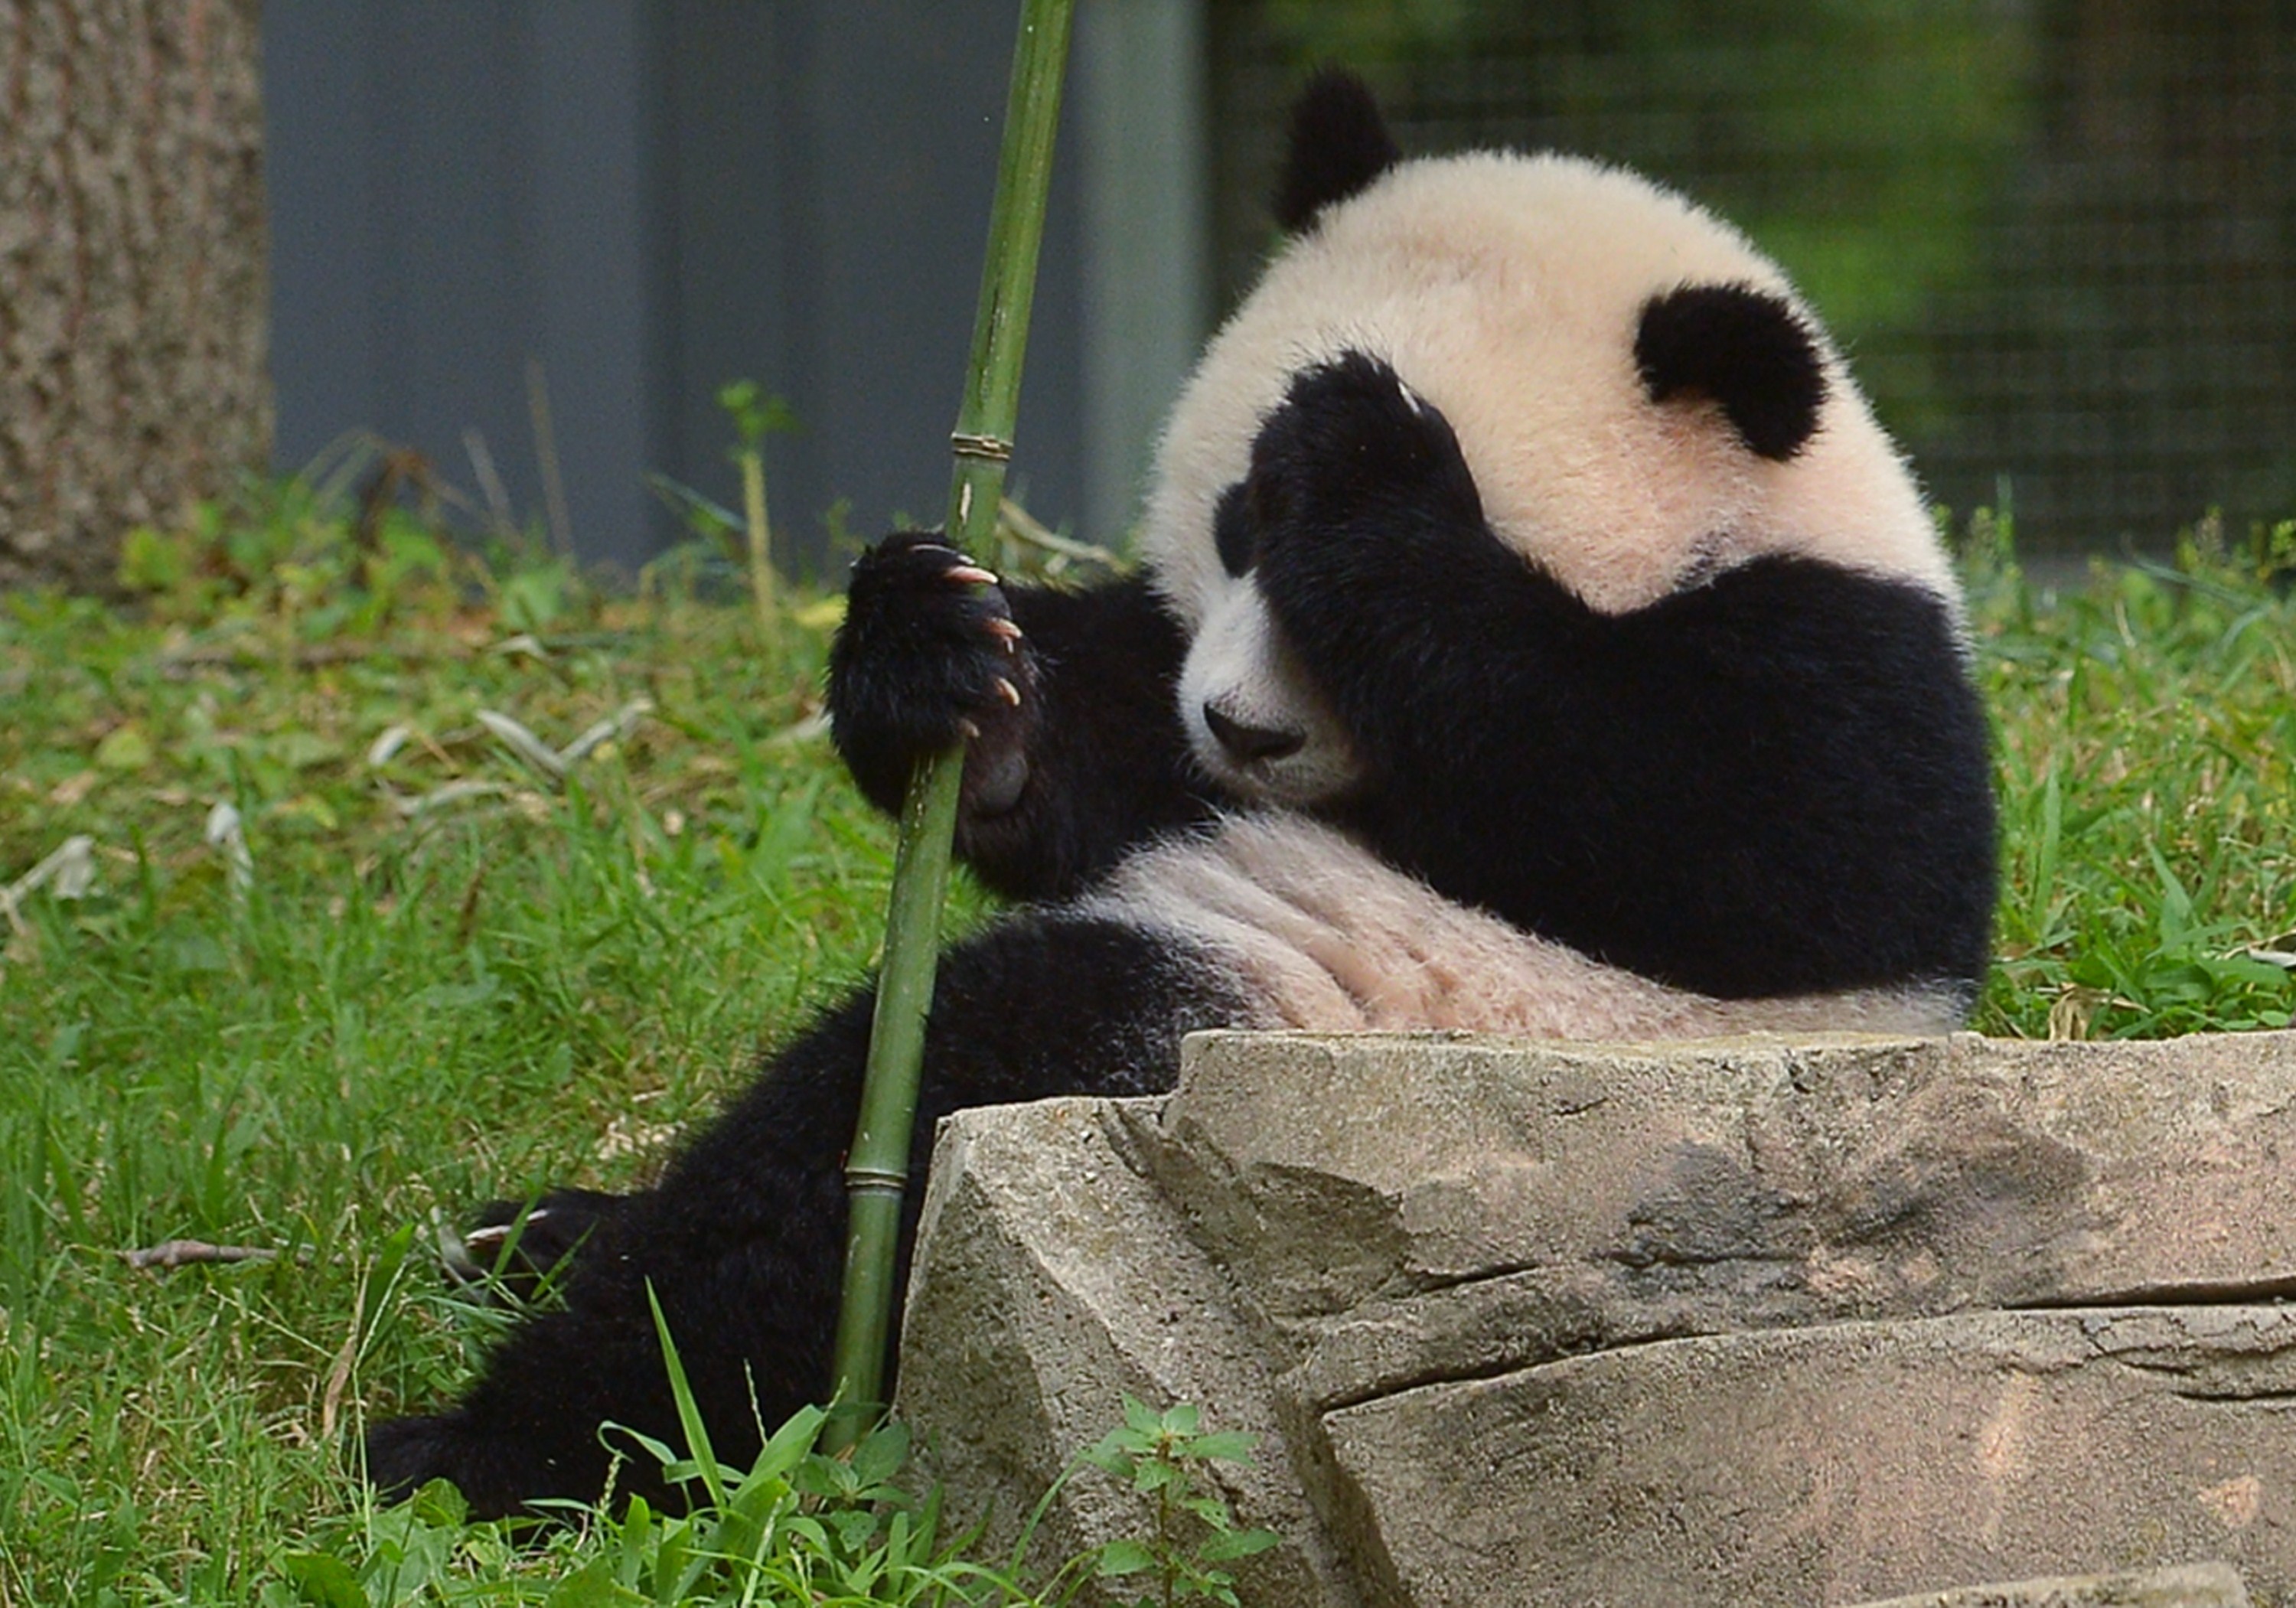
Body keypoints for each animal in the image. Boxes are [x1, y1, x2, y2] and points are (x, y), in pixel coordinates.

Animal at [358, 69, 1993, 1515]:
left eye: (1310, 566)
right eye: (1233, 525)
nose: (1243, 730)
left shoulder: (1839, 681)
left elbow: (1707, 829)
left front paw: (1371, 454)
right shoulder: (1171, 713)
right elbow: (1103, 762)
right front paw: (945, 664)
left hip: (1303, 1053)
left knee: (878, 1134)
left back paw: (500, 1444)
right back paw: (538, 1236)